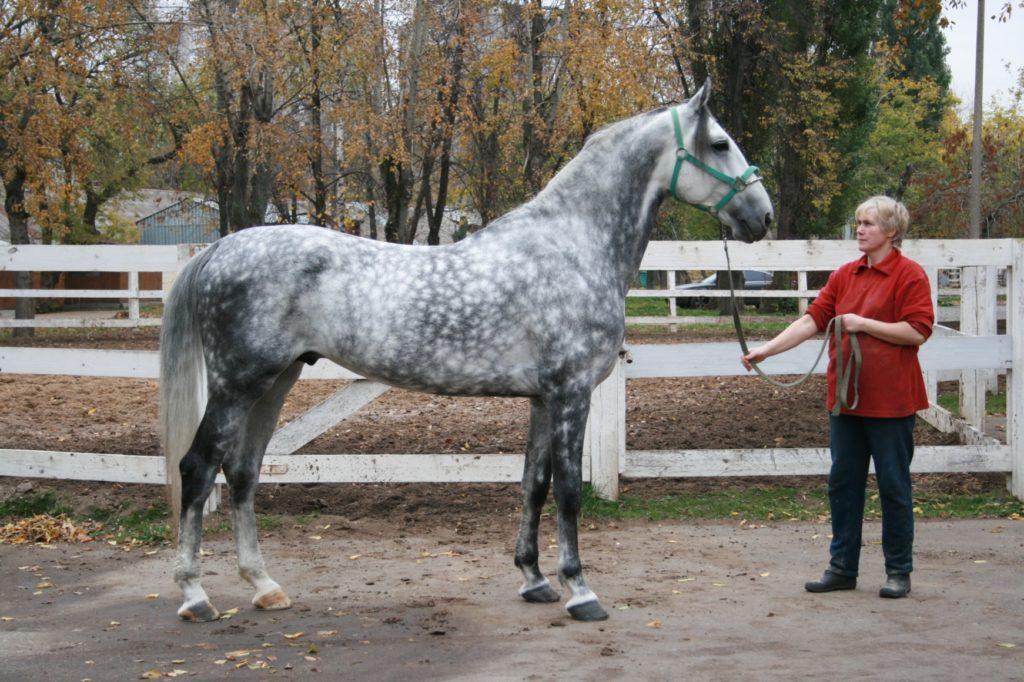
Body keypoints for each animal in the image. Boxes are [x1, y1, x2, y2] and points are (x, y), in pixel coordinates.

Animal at [160, 78, 773, 624]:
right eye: (720, 143)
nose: (762, 216)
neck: (574, 247)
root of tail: (219, 248)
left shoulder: (542, 399)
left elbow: (534, 484)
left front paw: (534, 579)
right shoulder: (571, 394)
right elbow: (569, 492)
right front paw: (580, 590)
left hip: (275, 381)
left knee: (242, 472)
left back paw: (264, 586)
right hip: (237, 385)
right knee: (198, 467)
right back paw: (194, 596)